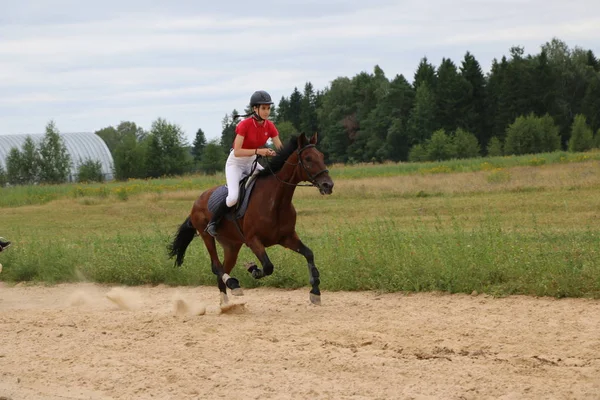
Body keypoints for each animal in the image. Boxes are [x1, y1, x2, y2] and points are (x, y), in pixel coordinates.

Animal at [168, 133, 332, 304]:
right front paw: (253, 269)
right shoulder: (253, 240)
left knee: (223, 269)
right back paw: (232, 283)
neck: (276, 201)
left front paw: (315, 291)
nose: (328, 185)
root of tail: (197, 202)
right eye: (308, 158)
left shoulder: (287, 238)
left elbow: (309, 254)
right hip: (207, 235)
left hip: (232, 245)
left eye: (321, 156)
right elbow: (267, 266)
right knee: (216, 266)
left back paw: (226, 300)